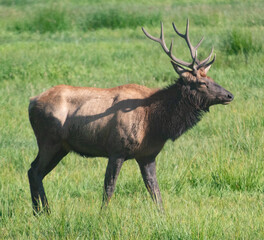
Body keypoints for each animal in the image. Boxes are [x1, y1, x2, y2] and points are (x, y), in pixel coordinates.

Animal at [27, 19, 233, 214]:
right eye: (202, 83)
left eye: (212, 79)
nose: (230, 95)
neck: (155, 123)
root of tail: (31, 101)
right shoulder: (116, 150)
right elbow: (109, 188)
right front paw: (102, 216)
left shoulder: (147, 155)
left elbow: (154, 190)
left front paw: (163, 216)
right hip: (49, 141)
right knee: (34, 170)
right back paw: (43, 212)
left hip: (62, 147)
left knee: (36, 172)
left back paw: (41, 212)